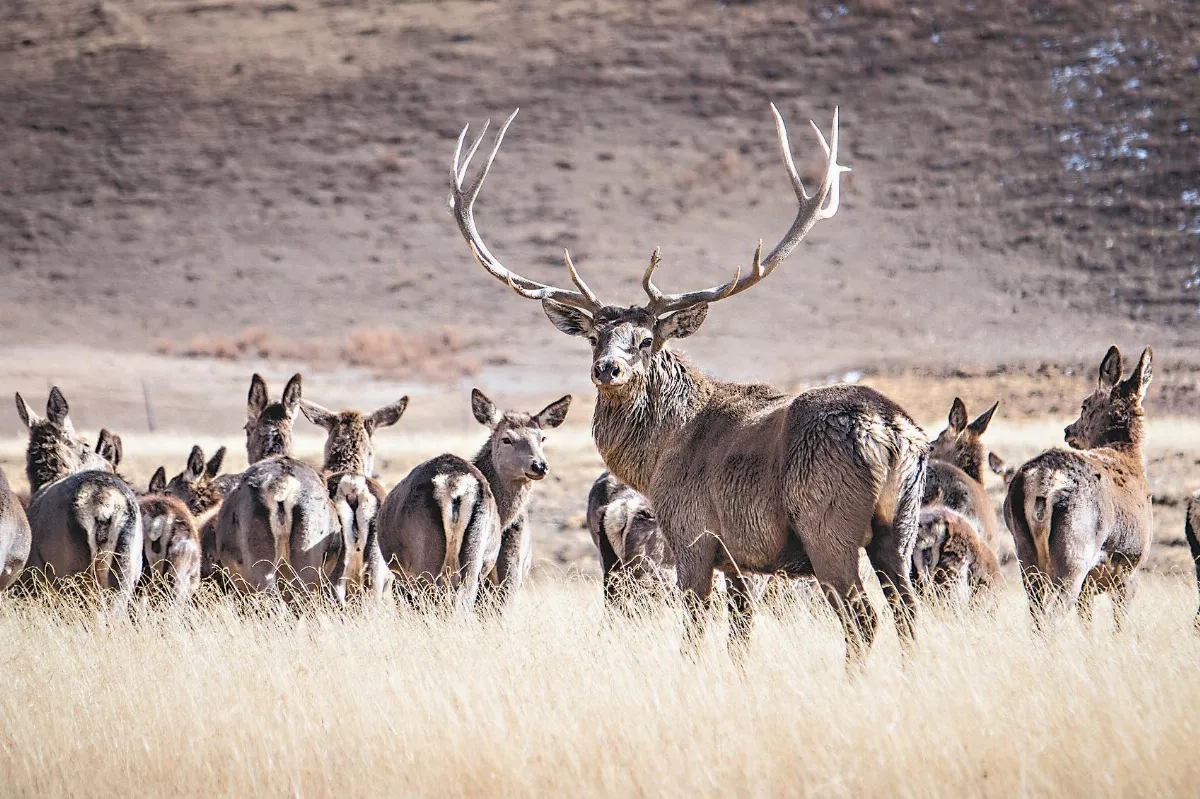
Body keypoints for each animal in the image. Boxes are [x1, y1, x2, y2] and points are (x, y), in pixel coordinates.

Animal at [14, 388, 143, 610]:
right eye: (86, 444)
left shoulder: (33, 576)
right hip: (126, 570)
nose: (108, 466)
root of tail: (105, 505)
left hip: (70, 570)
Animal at [449, 105, 928, 662]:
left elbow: (695, 633)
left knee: (864, 619)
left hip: (828, 525)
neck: (658, 457)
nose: (607, 368)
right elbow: (740, 634)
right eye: (594, 337)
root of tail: (890, 432)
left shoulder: (694, 536)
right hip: (900, 529)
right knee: (909, 614)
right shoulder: (742, 559)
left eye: (646, 340)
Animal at [1003, 346, 1154, 631]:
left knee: (1036, 613)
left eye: (1084, 406)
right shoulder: (1131, 568)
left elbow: (1087, 625)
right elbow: (1120, 626)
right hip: (1075, 550)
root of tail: (1045, 479)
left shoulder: (1091, 585)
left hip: (1025, 551)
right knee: (1053, 615)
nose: (1068, 429)